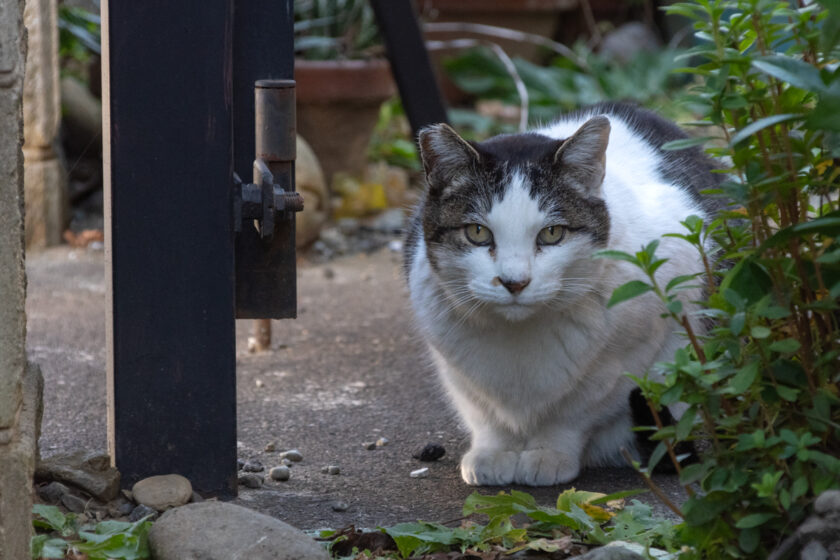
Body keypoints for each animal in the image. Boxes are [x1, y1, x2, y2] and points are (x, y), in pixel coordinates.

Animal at [404, 100, 720, 486]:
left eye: (552, 233)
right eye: (477, 232)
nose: (514, 281)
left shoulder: (639, 344)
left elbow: (578, 409)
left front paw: (549, 453)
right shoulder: (453, 363)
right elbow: (484, 412)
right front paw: (494, 452)